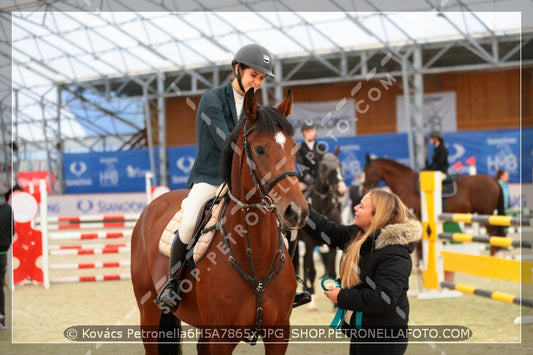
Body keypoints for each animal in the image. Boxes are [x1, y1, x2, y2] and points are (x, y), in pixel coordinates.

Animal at [129, 87, 310, 354]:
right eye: (260, 150)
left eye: (294, 148)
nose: (297, 211)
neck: (255, 258)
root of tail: (154, 203)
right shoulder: (221, 338)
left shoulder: (279, 335)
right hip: (149, 314)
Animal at [362, 154, 502, 258]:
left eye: (367, 172)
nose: (364, 190)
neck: (406, 184)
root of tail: (493, 180)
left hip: (486, 214)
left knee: (493, 234)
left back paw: (494, 256)